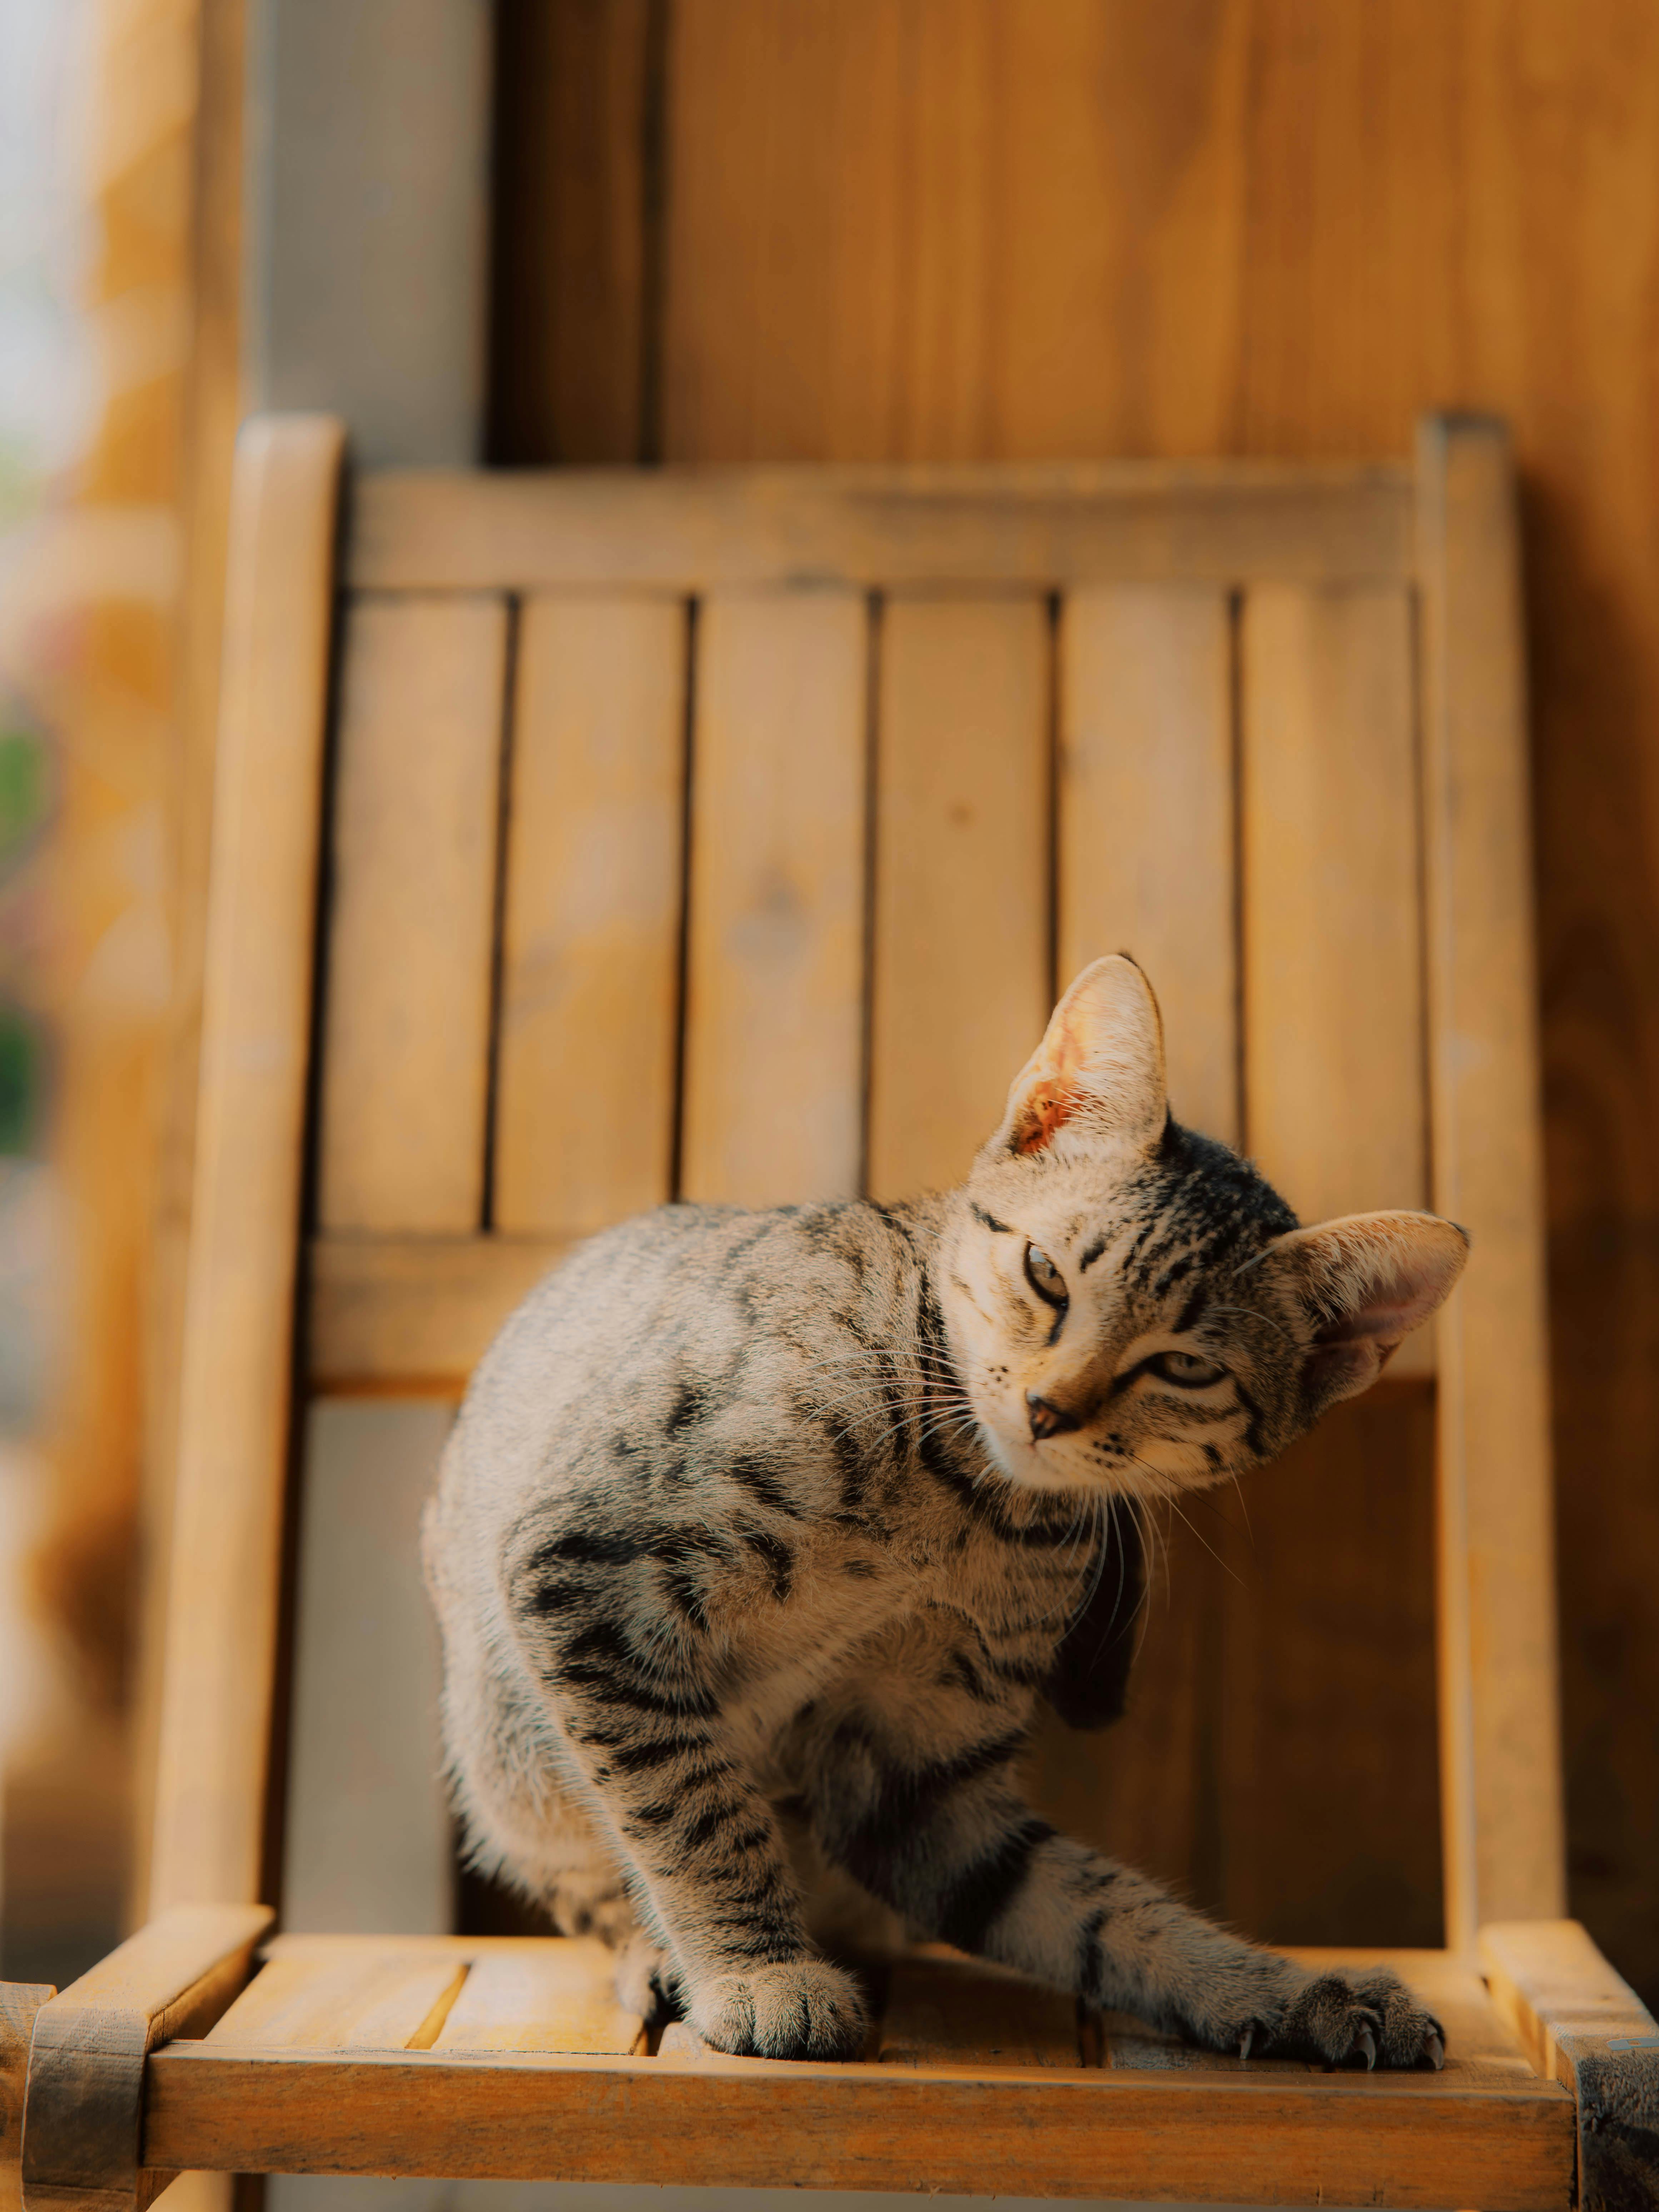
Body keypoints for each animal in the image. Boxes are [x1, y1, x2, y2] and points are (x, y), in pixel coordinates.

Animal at [429, 960, 1469, 2062]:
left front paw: (1286, 1988)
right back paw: (657, 1951)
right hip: (508, 1749)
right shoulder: (583, 1567)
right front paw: (759, 1969)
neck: (964, 1504)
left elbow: (1101, 1909)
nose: (1049, 1406)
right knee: (590, 1875)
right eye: (1047, 1272)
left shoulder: (919, 1776)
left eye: (1184, 1366)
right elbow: (694, 1805)